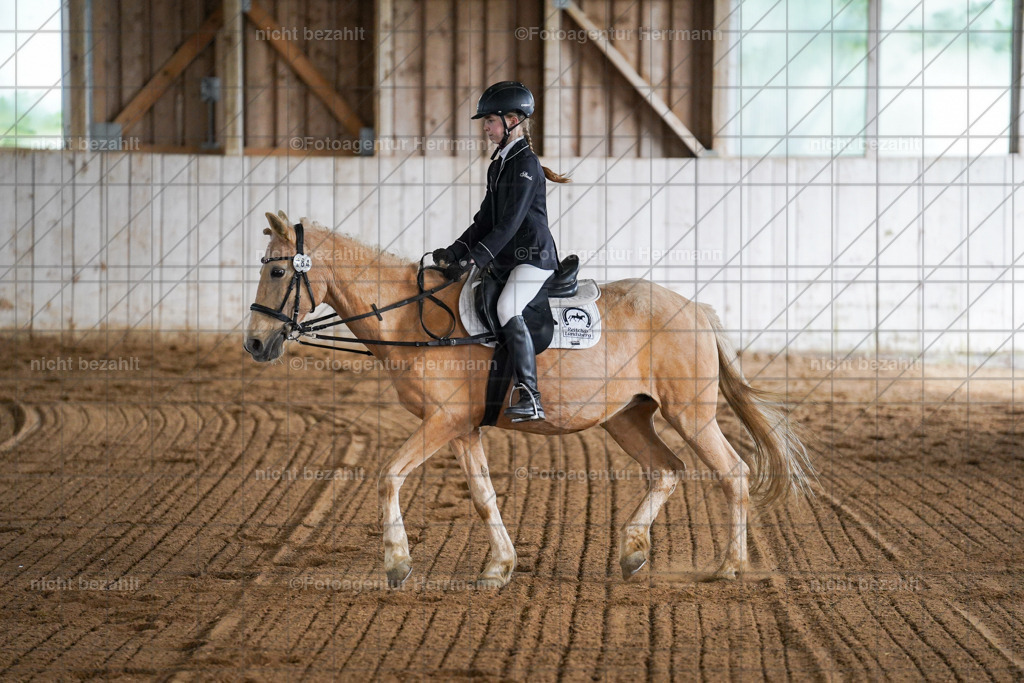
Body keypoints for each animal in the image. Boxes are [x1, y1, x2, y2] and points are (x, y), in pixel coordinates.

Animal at [244, 211, 815, 588]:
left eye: (277, 271)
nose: (253, 343)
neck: (413, 317)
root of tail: (695, 308)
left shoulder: (443, 421)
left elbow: (389, 474)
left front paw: (398, 564)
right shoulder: (463, 428)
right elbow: (483, 496)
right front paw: (499, 568)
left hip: (691, 415)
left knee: (733, 472)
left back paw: (729, 566)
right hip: (626, 418)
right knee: (667, 469)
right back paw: (633, 552)